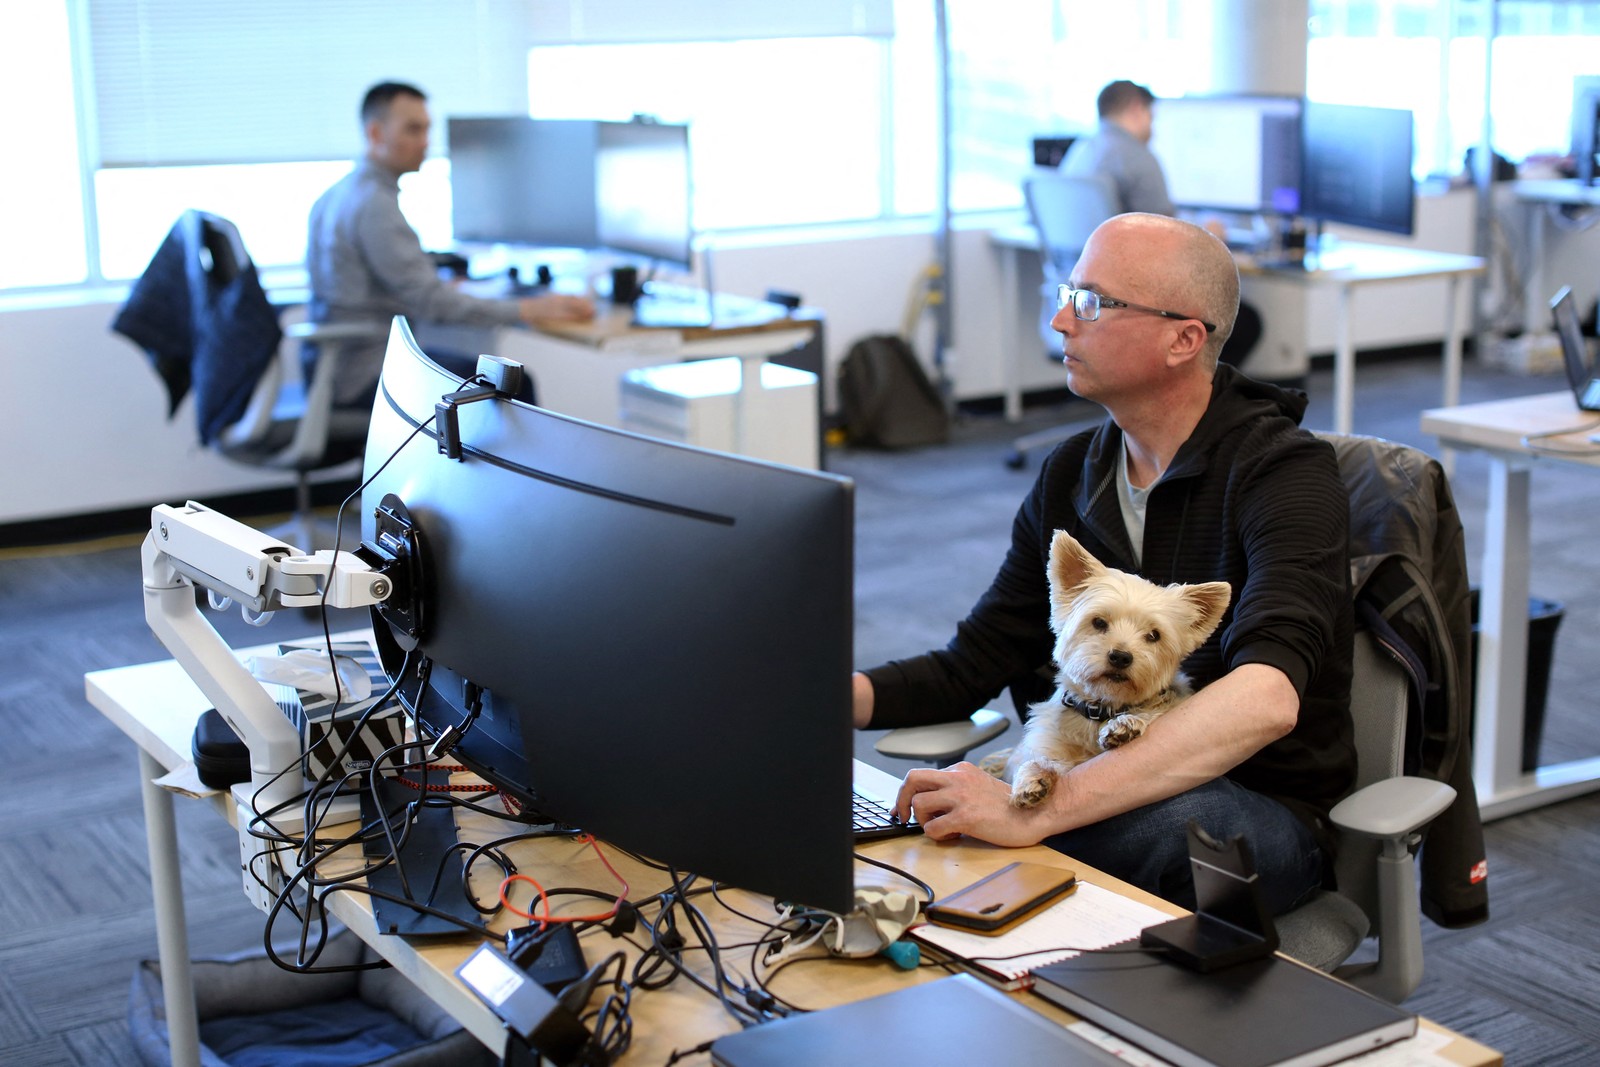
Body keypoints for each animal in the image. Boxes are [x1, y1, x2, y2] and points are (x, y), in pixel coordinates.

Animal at [998, 534, 1235, 809]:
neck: (1102, 707)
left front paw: (1126, 724)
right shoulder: (1047, 739)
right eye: (1099, 622)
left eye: (1154, 635)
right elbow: (1037, 758)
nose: (1121, 657)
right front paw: (1032, 778)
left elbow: (1152, 711)